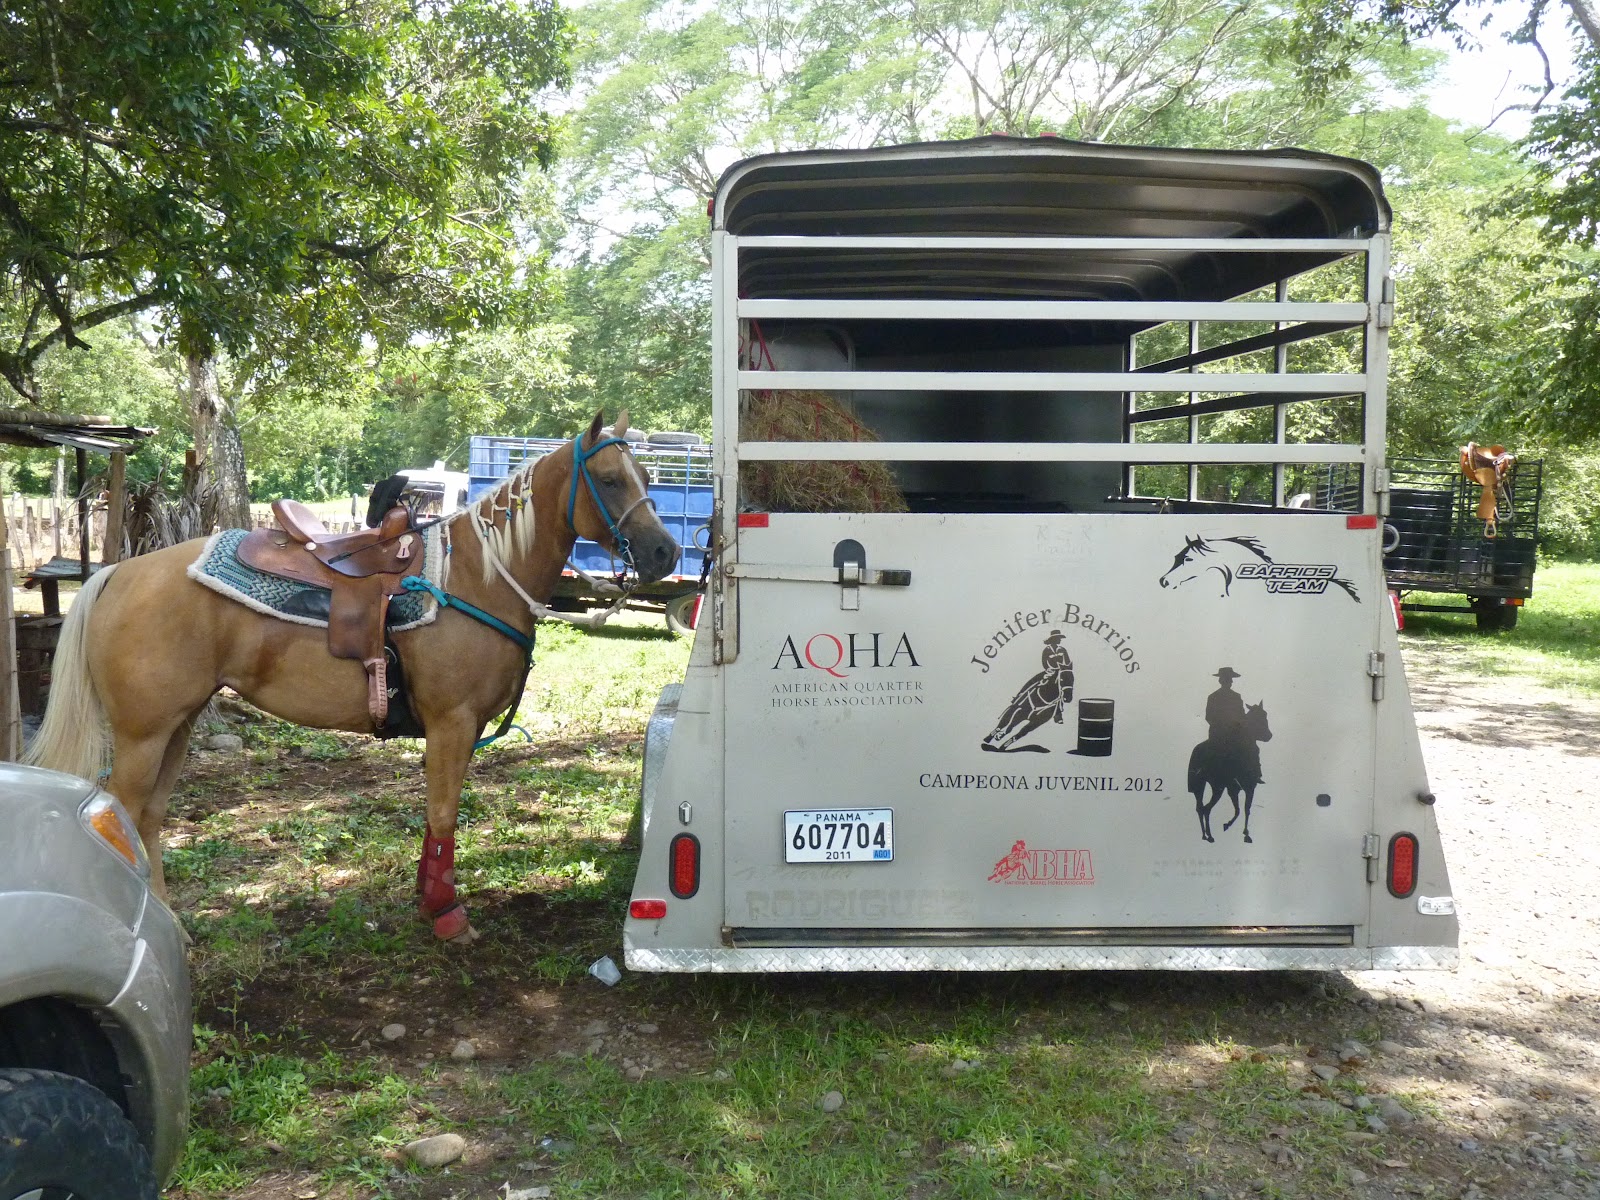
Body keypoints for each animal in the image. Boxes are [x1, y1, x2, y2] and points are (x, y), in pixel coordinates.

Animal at [25, 410, 679, 942]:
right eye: (612, 480)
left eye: (649, 480)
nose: (666, 554)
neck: (479, 575)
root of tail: (115, 574)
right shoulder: (452, 723)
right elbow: (445, 814)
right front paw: (447, 915)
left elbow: (435, 818)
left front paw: (425, 898)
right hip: (143, 734)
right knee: (126, 818)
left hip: (177, 727)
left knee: (149, 820)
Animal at [1186, 700, 1272, 843]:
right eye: (1262, 717)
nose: (1269, 736)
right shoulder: (1248, 787)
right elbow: (1245, 809)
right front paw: (1243, 832)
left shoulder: (1234, 789)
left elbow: (1239, 809)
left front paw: (1232, 826)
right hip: (1216, 787)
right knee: (1206, 808)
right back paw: (1209, 835)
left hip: (1204, 785)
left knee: (1202, 808)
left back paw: (1206, 835)